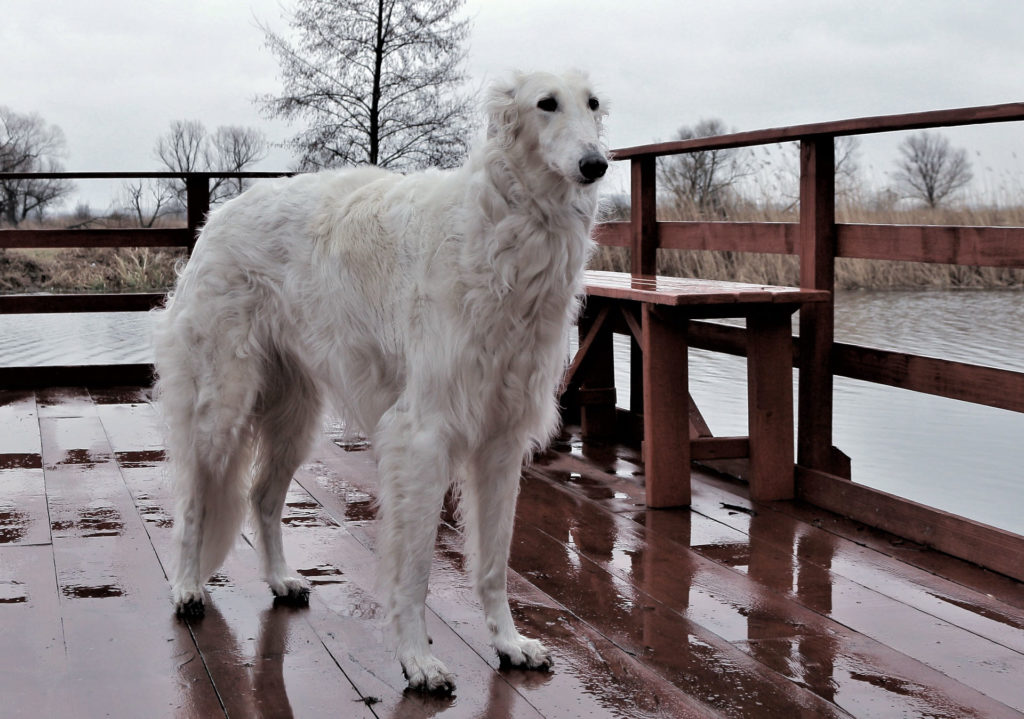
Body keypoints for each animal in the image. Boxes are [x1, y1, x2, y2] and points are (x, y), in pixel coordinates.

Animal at [153, 71, 606, 692]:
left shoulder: (501, 439)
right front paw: (417, 661)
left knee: (262, 497)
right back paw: (185, 586)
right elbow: (414, 570)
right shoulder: (421, 437)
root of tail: (214, 219)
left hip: (295, 415)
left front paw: (510, 644)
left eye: (594, 104)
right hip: (220, 405)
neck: (505, 232)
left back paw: (281, 578)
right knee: (196, 500)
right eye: (546, 104)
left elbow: (493, 563)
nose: (597, 164)